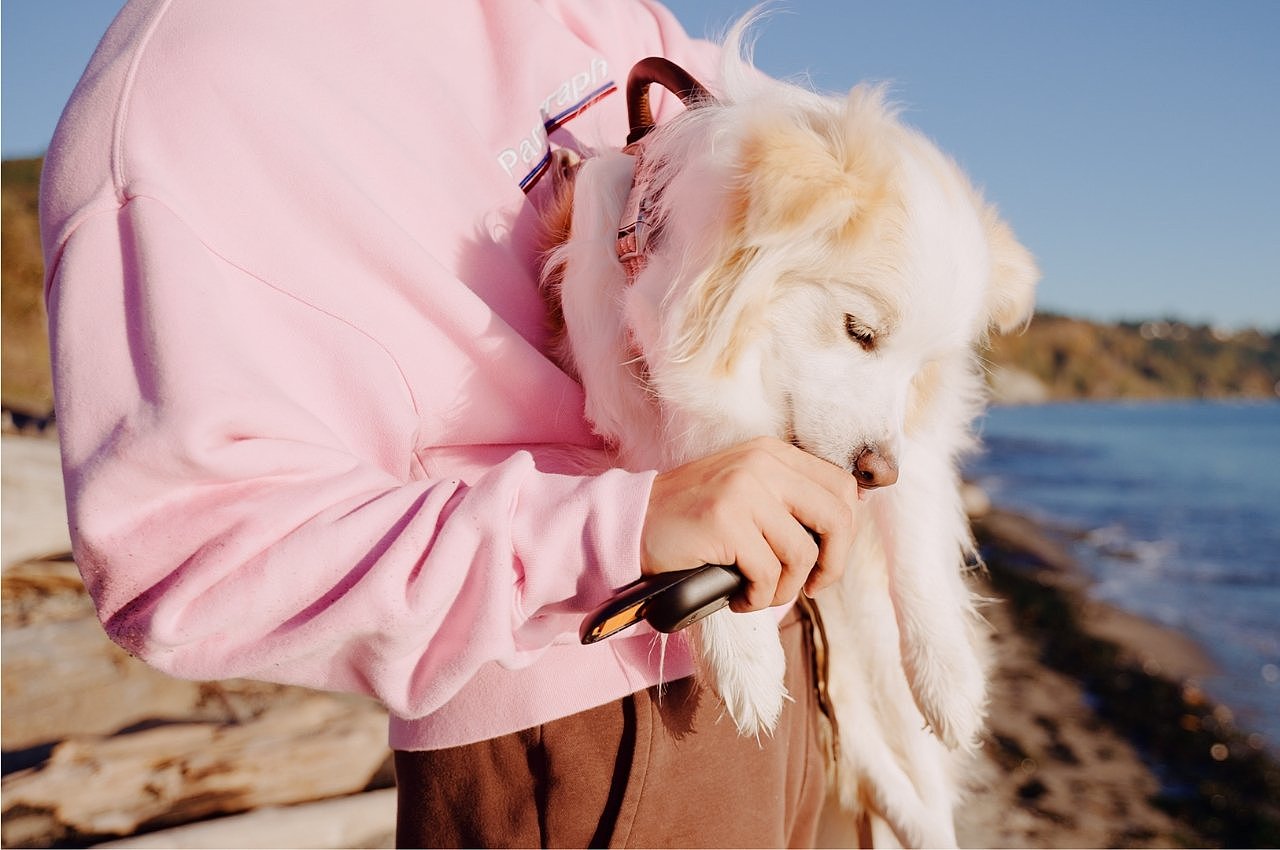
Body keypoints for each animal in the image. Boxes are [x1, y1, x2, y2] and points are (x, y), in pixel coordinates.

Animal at [535, 21, 1034, 850]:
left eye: (919, 366)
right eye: (859, 331)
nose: (875, 472)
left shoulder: (916, 440)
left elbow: (917, 545)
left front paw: (950, 675)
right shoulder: (641, 399)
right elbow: (698, 481)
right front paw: (742, 659)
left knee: (909, 776)